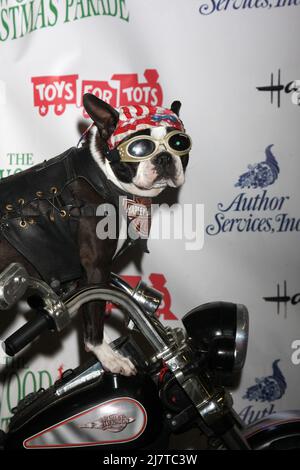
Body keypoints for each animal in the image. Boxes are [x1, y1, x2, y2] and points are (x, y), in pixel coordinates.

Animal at [0, 93, 191, 376]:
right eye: (139, 147)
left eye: (179, 143)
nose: (165, 157)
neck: (103, 176)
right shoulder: (96, 268)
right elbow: (95, 316)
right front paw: (106, 355)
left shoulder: (82, 277)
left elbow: (91, 307)